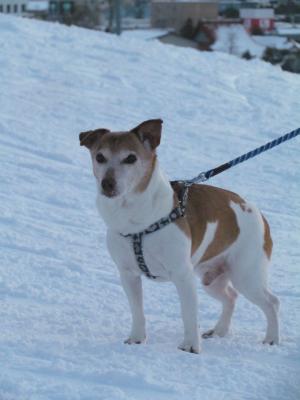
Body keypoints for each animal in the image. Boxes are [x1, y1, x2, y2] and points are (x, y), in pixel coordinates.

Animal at [79, 119, 278, 354]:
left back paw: (272, 339)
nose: (107, 183)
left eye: (131, 158)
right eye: (100, 157)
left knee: (272, 302)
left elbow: (189, 314)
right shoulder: (128, 275)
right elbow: (137, 310)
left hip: (247, 276)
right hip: (212, 278)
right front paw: (136, 339)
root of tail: (258, 213)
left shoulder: (183, 276)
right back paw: (218, 331)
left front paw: (190, 346)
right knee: (231, 297)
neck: (138, 222)